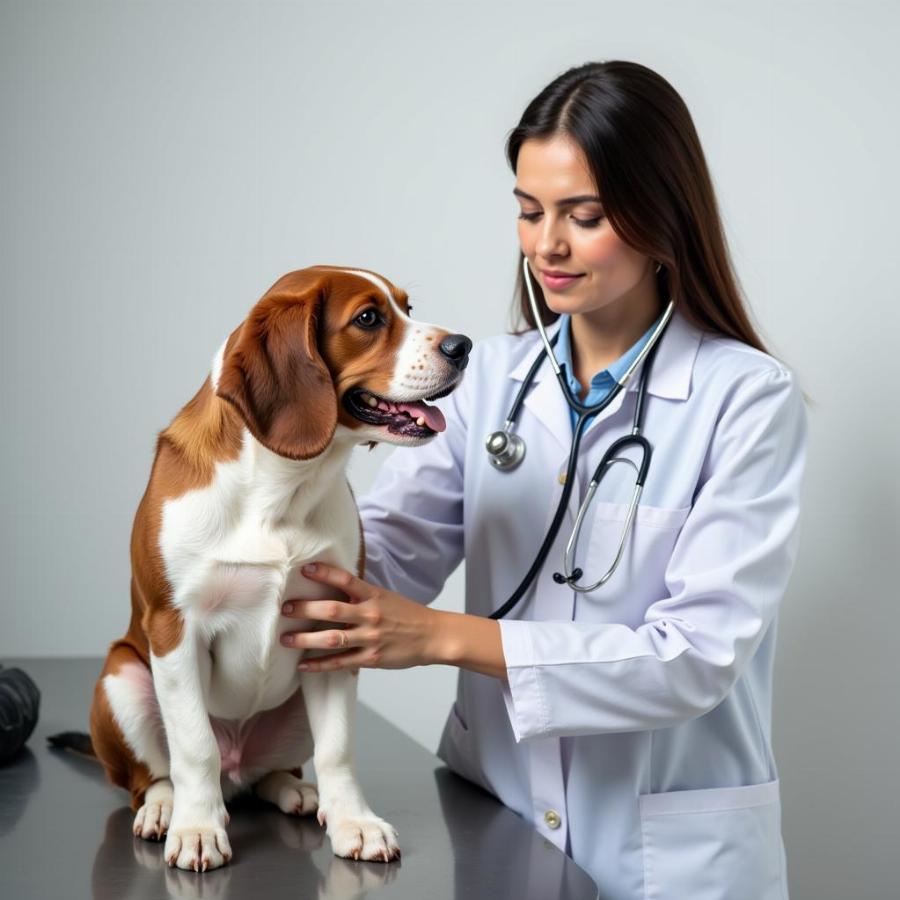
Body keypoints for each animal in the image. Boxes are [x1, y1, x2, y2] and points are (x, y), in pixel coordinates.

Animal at [48, 268, 472, 872]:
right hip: (121, 680)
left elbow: (338, 749)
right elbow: (194, 746)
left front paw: (355, 822)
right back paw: (166, 806)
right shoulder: (174, 628)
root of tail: (238, 768)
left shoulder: (332, 627)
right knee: (151, 774)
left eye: (408, 308)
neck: (282, 487)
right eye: (368, 318)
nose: (463, 346)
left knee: (271, 773)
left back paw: (295, 790)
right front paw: (197, 828)